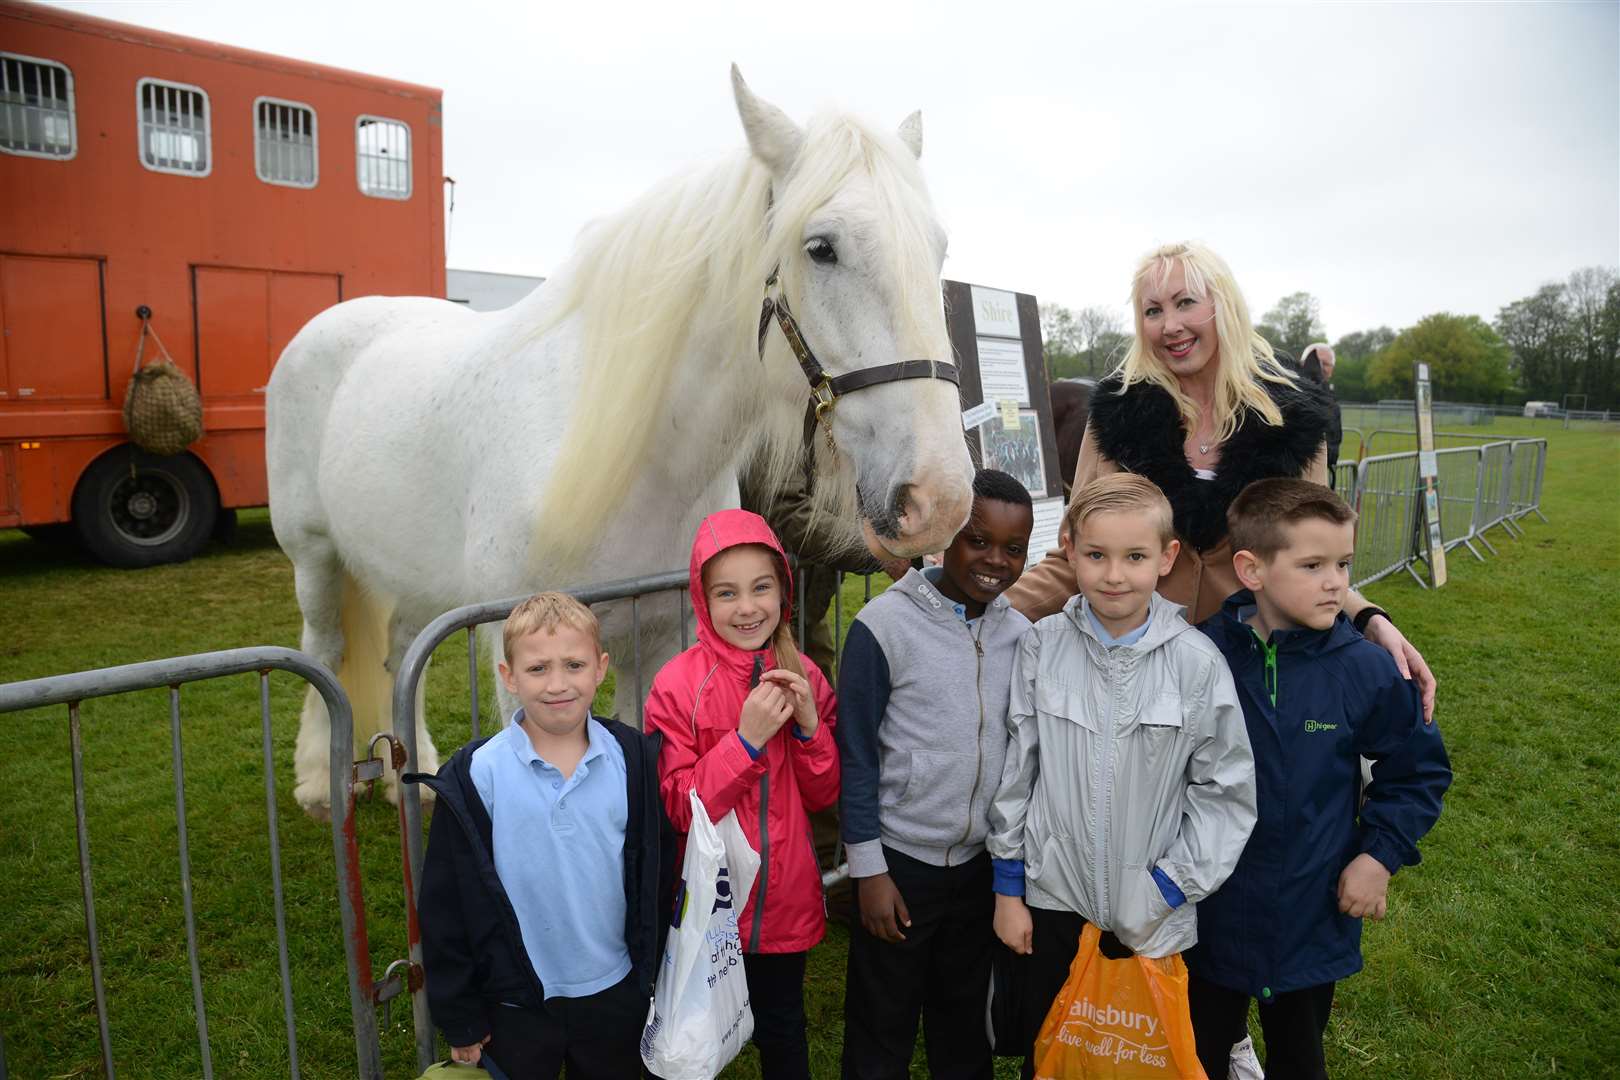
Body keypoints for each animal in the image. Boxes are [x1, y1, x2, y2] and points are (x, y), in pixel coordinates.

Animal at [270, 67, 965, 809]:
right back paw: (320, 781)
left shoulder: (656, 641)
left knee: (401, 650)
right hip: (314, 557)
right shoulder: (510, 643)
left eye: (937, 250)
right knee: (323, 648)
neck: (638, 465)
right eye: (821, 248)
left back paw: (414, 774)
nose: (941, 499)